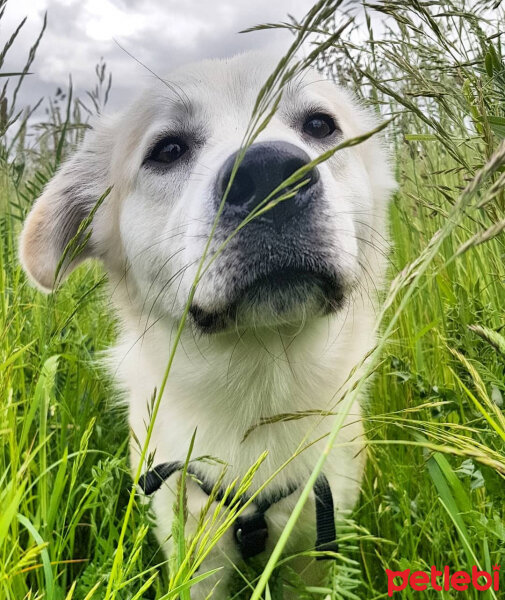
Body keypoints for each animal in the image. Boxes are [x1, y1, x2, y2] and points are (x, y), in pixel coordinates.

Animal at [19, 54, 394, 596]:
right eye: (169, 149)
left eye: (320, 125)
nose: (269, 172)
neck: (260, 390)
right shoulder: (195, 552)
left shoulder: (315, 545)